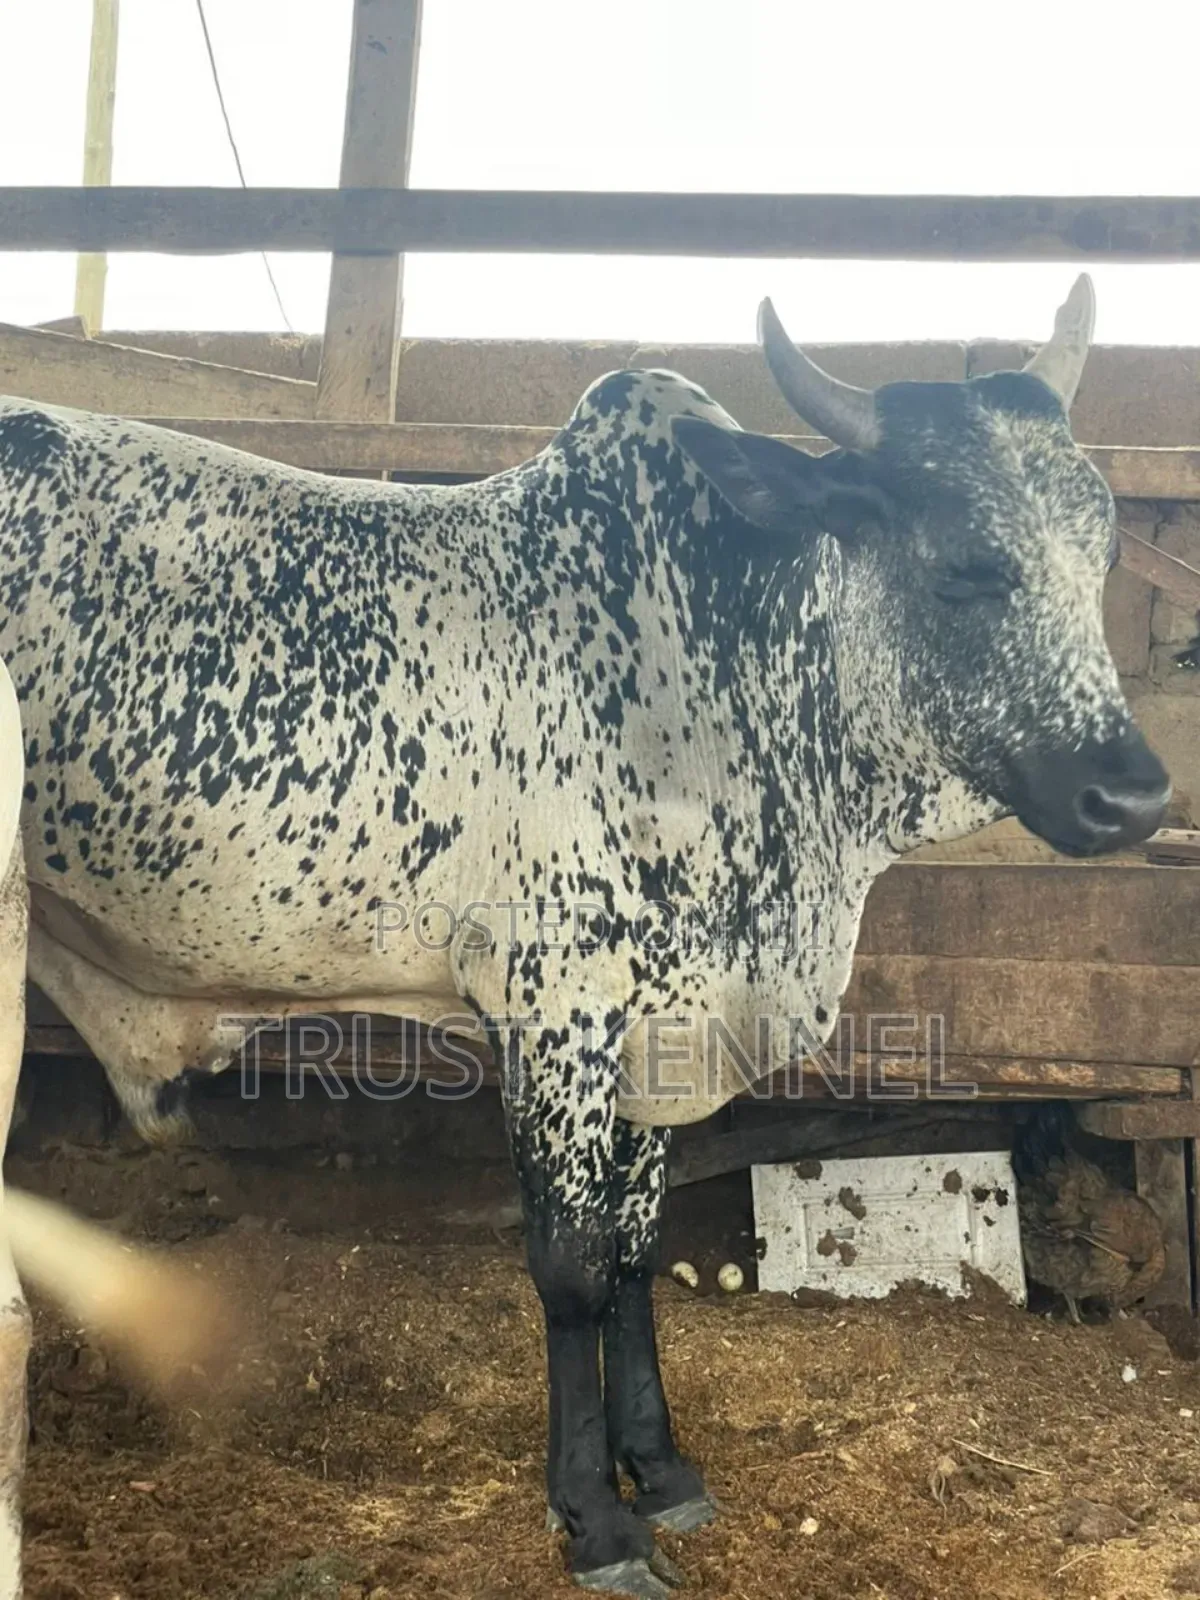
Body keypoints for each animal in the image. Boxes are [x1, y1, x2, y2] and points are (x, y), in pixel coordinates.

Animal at [0, 275, 1170, 1597]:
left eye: (1103, 549)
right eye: (967, 564)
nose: (1133, 795)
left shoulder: (661, 1027)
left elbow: (632, 1251)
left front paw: (659, 1468)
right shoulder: (554, 1014)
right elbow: (566, 1266)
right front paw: (593, 1515)